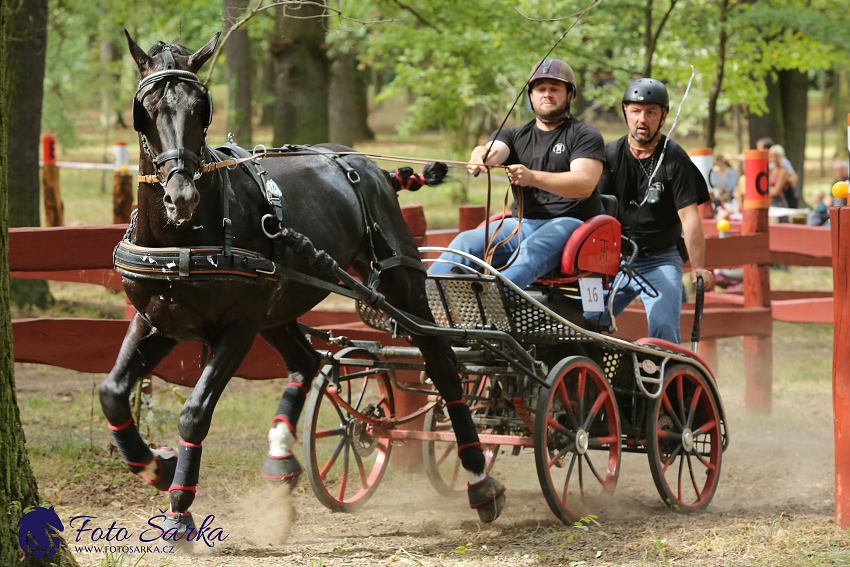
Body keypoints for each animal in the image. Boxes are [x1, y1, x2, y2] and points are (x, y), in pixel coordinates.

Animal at [99, 32, 504, 536]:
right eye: (147, 109)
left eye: (200, 108)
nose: (181, 197)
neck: (184, 238)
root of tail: (370, 167)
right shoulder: (156, 320)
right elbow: (113, 394)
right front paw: (157, 466)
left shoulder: (237, 328)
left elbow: (194, 414)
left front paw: (180, 510)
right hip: (279, 306)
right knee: (306, 361)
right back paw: (280, 460)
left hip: (400, 284)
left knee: (442, 362)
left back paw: (479, 479)